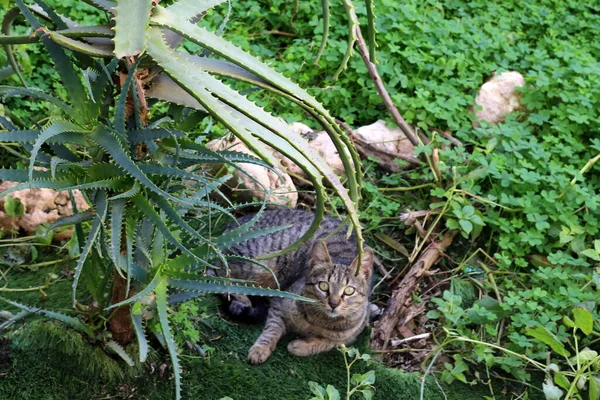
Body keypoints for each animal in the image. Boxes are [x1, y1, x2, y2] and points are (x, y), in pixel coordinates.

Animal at [218, 209, 372, 366]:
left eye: (349, 290)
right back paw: (242, 298)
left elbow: (327, 342)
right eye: (323, 286)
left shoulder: (349, 337)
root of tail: (233, 224)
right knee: (219, 274)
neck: (319, 321)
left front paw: (300, 346)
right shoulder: (279, 303)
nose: (333, 303)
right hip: (256, 265)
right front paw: (261, 349)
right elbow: (271, 330)